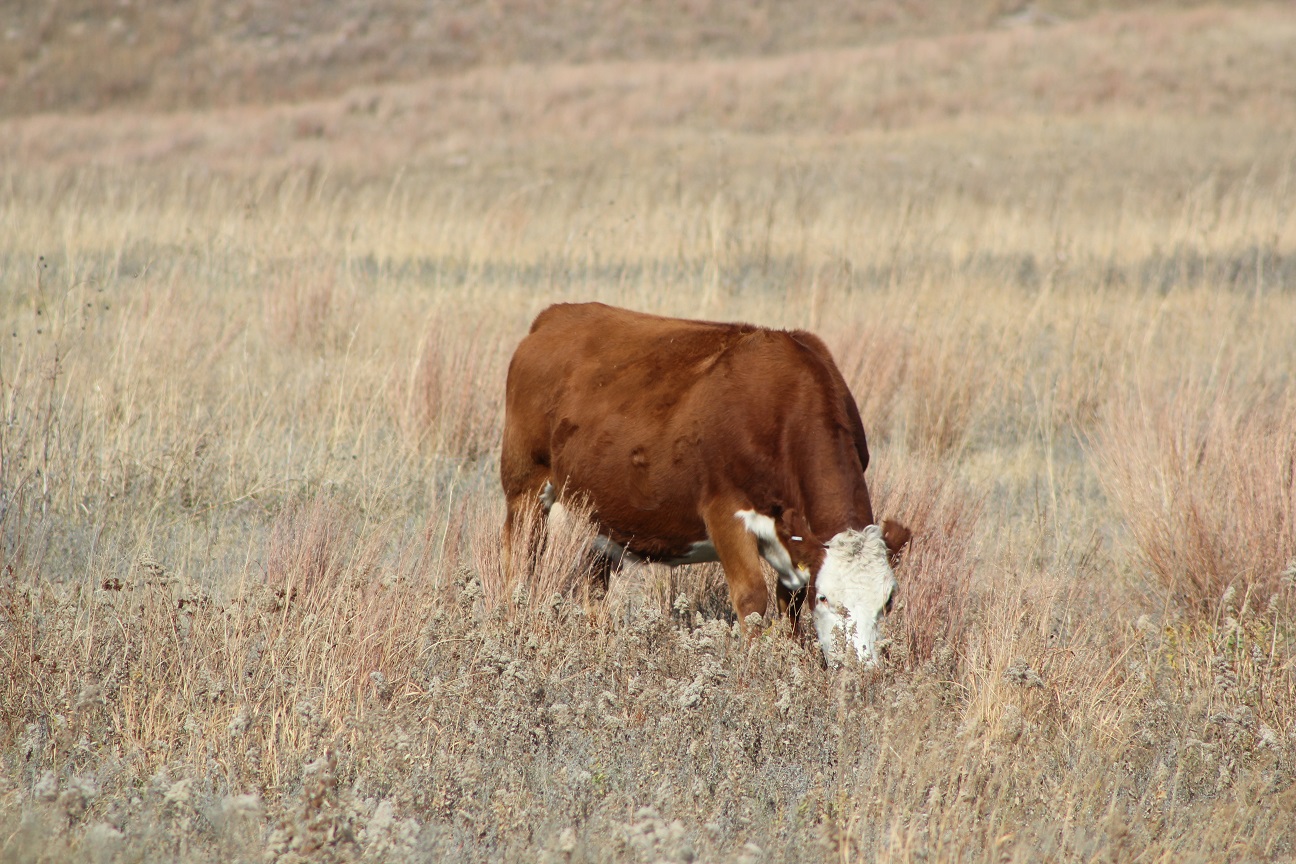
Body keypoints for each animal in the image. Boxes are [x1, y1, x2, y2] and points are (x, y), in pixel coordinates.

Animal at [495, 300, 912, 668]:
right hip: (525, 486)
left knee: (592, 584)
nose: (860, 668)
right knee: (520, 561)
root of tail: (555, 317)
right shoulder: (724, 511)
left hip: (602, 512)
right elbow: (752, 598)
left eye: (887, 601)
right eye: (824, 598)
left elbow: (789, 608)